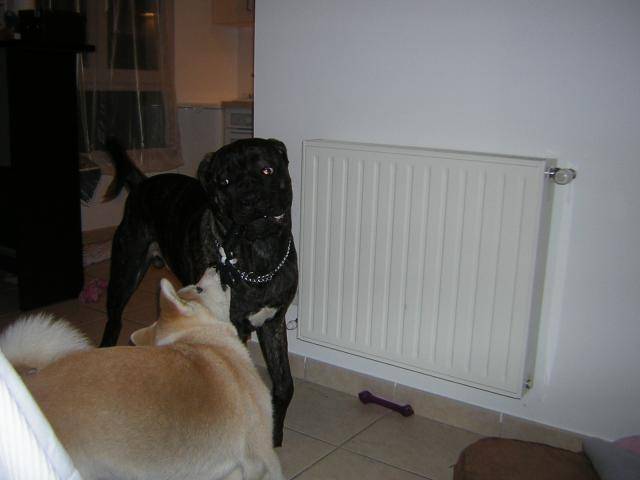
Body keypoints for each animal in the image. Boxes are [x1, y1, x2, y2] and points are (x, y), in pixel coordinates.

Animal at [100, 137, 298, 447]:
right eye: (224, 181)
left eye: (267, 170)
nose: (249, 198)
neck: (259, 258)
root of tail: (142, 183)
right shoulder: (233, 328)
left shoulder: (273, 322)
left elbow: (284, 384)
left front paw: (275, 435)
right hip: (124, 270)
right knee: (114, 320)